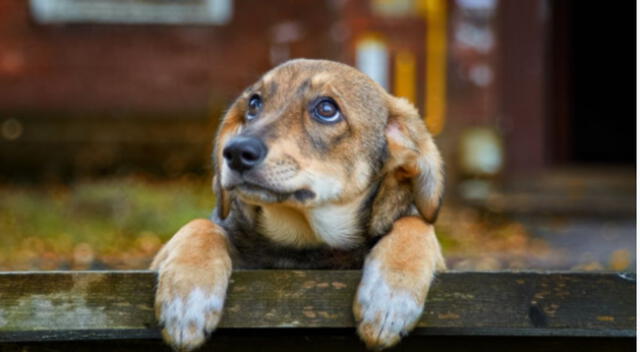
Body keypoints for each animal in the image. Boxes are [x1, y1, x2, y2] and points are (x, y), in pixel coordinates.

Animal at [150, 59, 444, 350]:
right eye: (254, 104)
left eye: (327, 109)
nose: (234, 152)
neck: (303, 241)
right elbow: (200, 225)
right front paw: (186, 296)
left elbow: (416, 224)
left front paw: (391, 297)